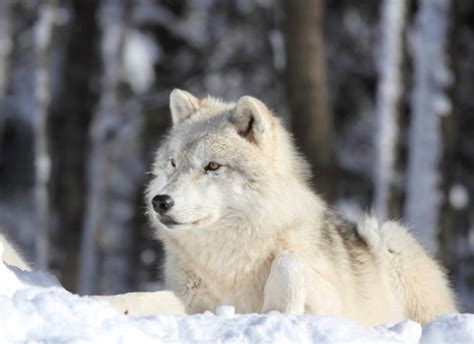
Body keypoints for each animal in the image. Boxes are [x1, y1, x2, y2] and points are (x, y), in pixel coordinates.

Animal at [146, 89, 458, 326]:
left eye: (212, 166)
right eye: (173, 164)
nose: (160, 202)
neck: (229, 259)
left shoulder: (335, 302)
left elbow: (288, 261)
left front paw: (276, 314)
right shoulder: (188, 297)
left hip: (392, 237)